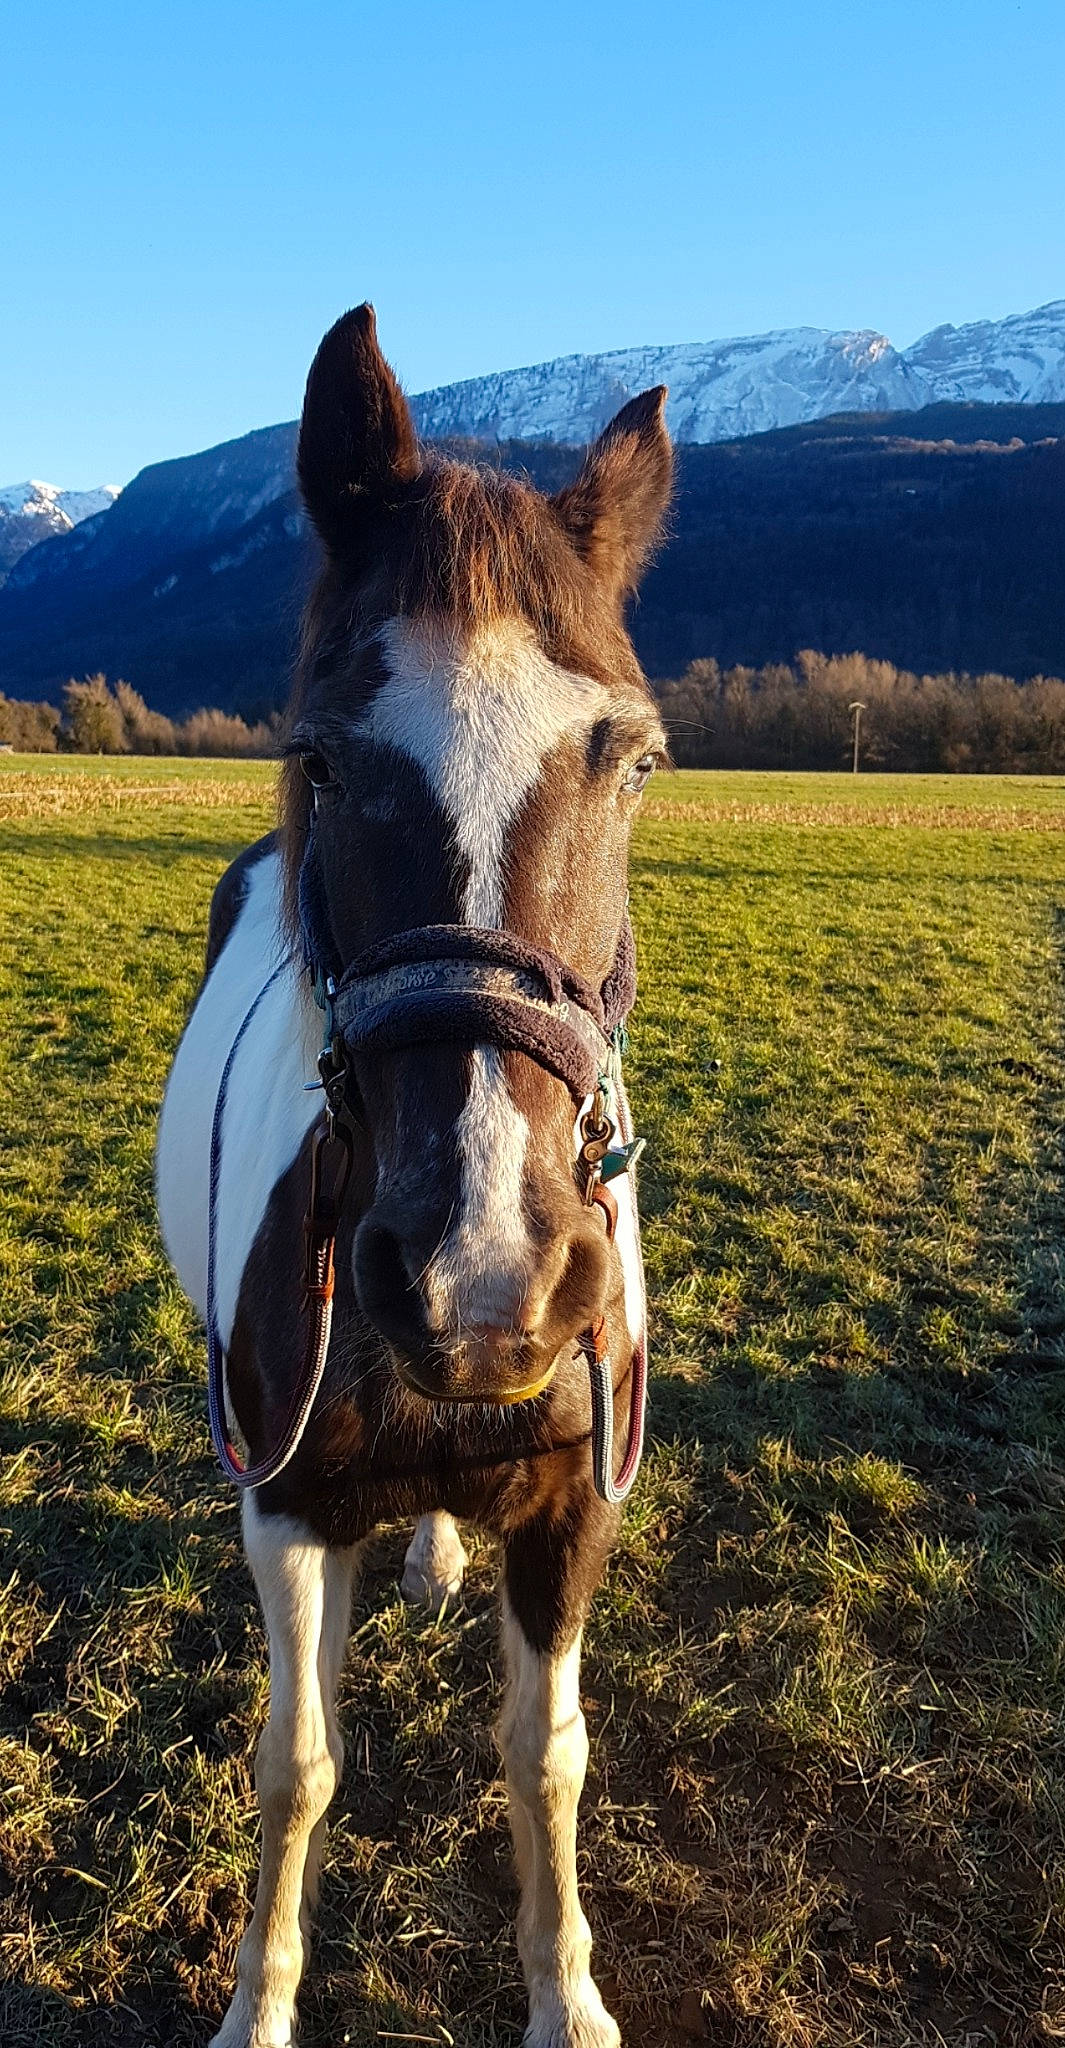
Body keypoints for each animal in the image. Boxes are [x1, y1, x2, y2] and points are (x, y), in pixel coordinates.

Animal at [156, 302, 672, 2048]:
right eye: (321, 754)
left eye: (633, 759)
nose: (483, 1281)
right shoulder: (284, 1511)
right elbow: (294, 1769)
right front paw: (257, 2007)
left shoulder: (570, 1510)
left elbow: (547, 1758)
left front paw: (568, 1998)